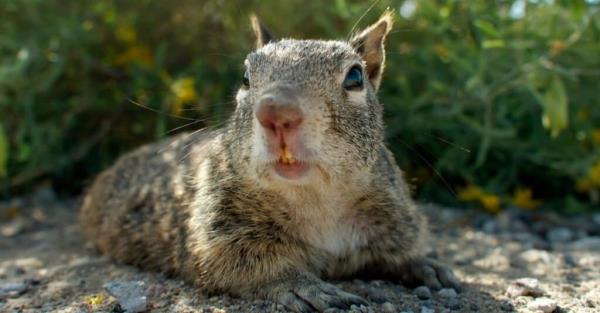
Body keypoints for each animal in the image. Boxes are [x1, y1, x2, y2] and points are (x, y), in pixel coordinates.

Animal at [79, 11, 462, 310]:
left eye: (355, 76)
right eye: (246, 77)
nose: (277, 112)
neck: (315, 197)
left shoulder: (394, 214)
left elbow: (401, 249)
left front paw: (425, 264)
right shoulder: (215, 232)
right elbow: (242, 264)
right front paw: (301, 286)